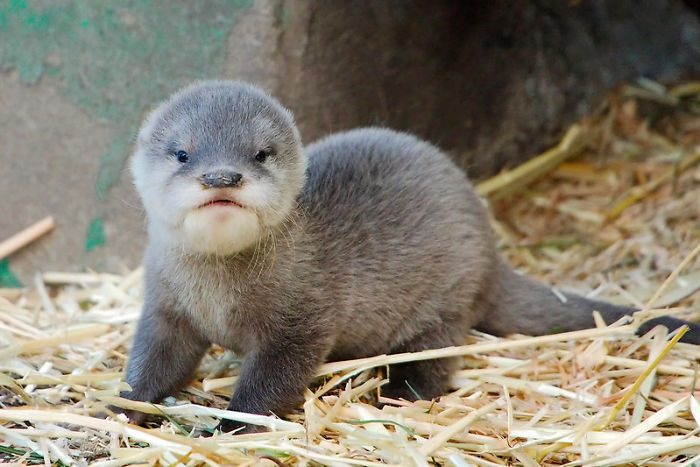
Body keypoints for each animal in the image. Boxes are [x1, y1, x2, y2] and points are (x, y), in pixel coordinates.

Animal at [123, 80, 700, 433]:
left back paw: (394, 393)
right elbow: (151, 360)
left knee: (434, 358)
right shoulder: (165, 305)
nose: (222, 176)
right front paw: (122, 405)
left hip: (445, 299)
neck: (220, 296)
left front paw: (231, 427)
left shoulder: (303, 319)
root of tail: (490, 255)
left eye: (260, 154)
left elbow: (271, 382)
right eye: (182, 152)